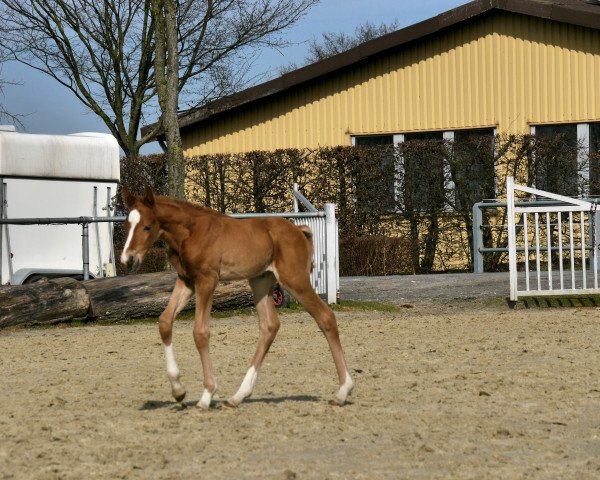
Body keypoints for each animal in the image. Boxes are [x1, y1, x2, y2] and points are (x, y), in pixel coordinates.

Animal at [120, 188, 354, 408]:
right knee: (269, 326)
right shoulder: (186, 280)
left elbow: (200, 332)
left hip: (295, 279)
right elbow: (165, 322)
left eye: (148, 226)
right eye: (126, 226)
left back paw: (343, 391)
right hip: (260, 281)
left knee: (325, 317)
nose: (128, 259)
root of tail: (298, 230)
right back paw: (238, 396)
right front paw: (178, 391)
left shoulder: (207, 280)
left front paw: (207, 395)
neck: (190, 232)